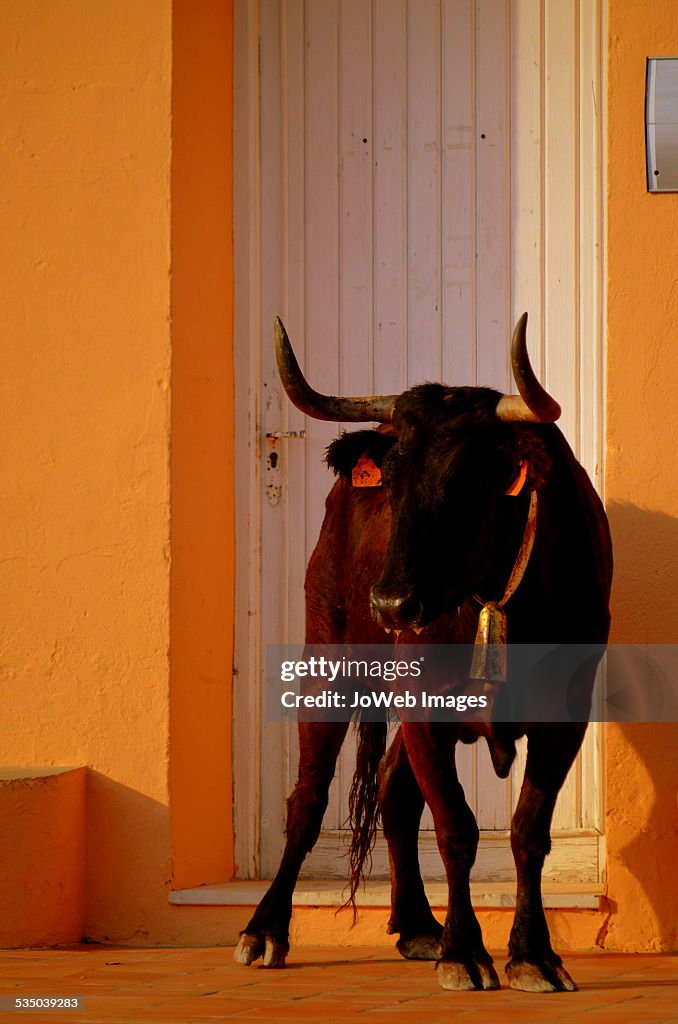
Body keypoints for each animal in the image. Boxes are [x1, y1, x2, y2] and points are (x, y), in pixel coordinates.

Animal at [236, 317, 614, 991]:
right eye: (390, 483)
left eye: (468, 482)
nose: (391, 603)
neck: (494, 596)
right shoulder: (423, 705)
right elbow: (455, 827)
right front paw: (466, 951)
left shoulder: (565, 713)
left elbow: (528, 830)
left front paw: (533, 952)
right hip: (328, 657)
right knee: (308, 797)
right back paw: (265, 928)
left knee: (392, 789)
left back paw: (415, 923)